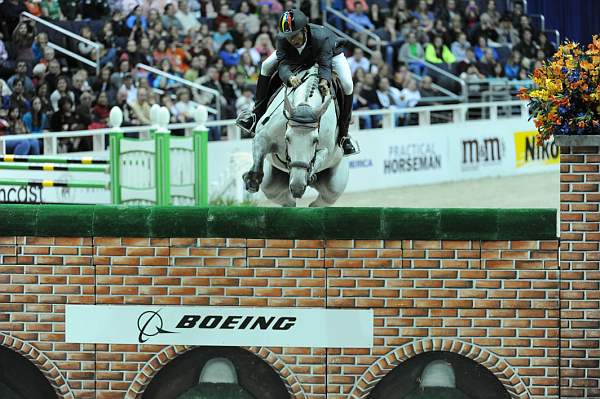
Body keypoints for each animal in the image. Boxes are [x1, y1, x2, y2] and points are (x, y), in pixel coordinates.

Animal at [241, 66, 350, 208]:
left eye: (315, 140)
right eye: (287, 138)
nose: (297, 186)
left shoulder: (326, 149)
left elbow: (320, 156)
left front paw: (308, 176)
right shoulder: (262, 136)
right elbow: (259, 155)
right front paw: (251, 181)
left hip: (333, 188)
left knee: (320, 202)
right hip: (271, 185)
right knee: (285, 199)